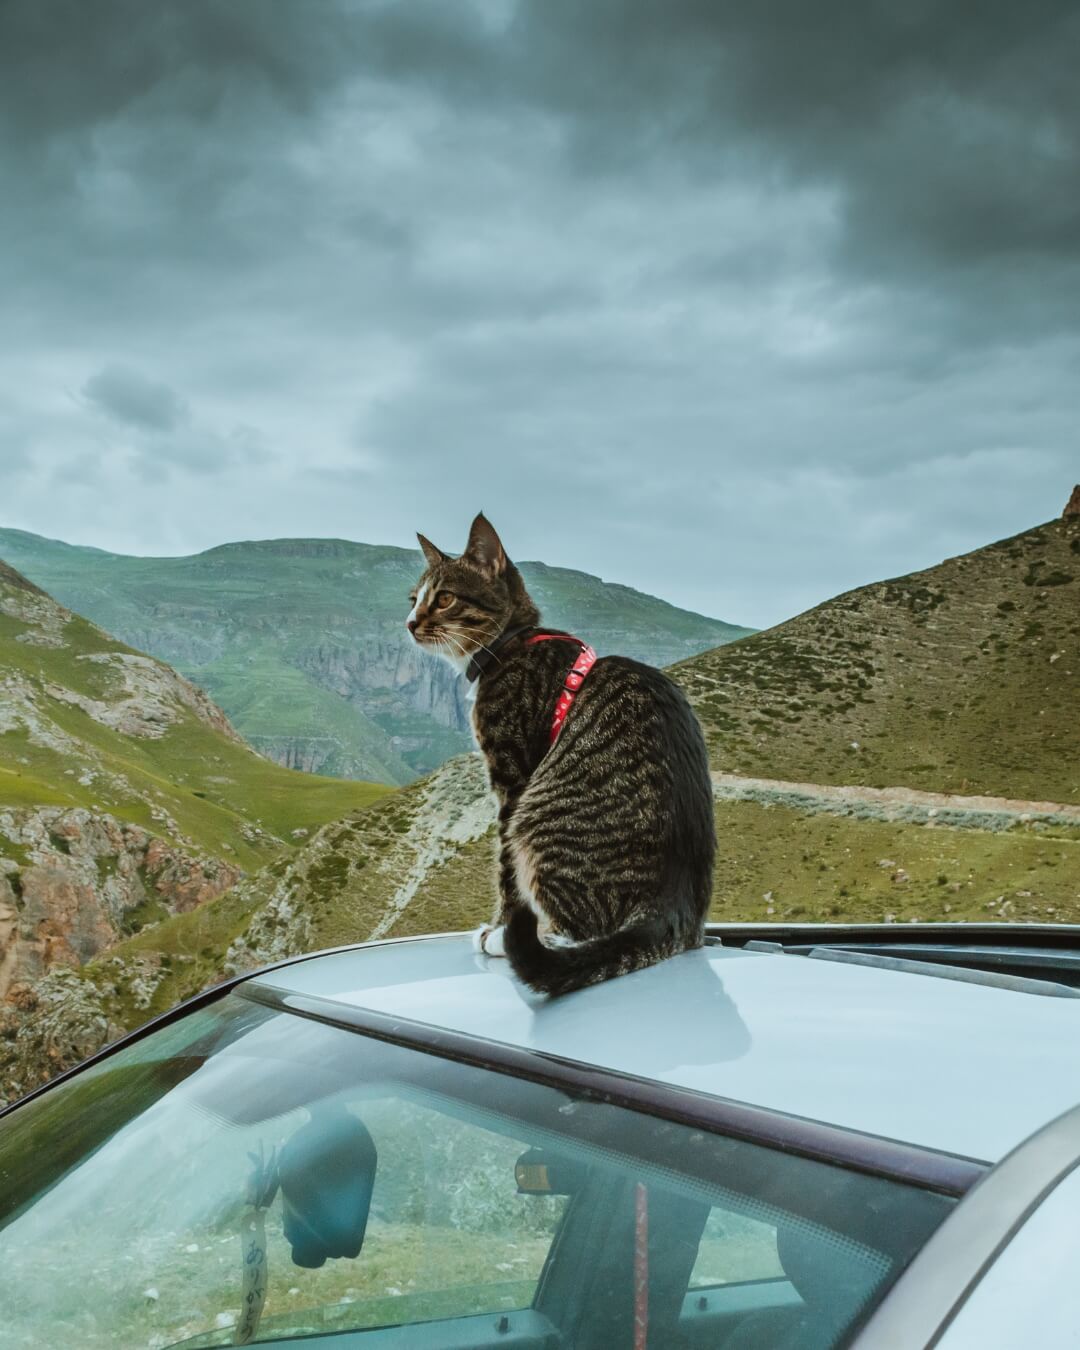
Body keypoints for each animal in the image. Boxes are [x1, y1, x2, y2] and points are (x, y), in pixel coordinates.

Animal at [407, 510, 718, 999]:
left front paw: (497, 929)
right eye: (413, 598)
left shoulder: (512, 775)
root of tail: (670, 911)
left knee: (581, 928)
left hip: (535, 818)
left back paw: (526, 940)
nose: (409, 623)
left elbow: (505, 874)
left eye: (445, 599)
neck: (511, 643)